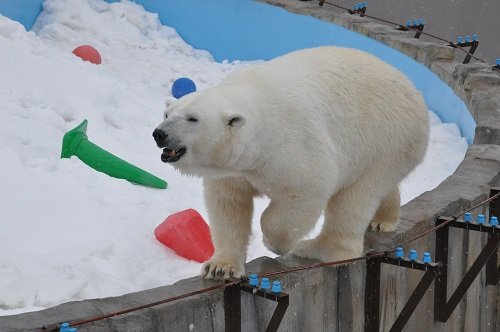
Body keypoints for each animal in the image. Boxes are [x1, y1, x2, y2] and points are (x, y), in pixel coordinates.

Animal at [152, 46, 430, 278]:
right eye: (167, 113)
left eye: (192, 118)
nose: (159, 134)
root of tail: (414, 90)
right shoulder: (232, 170)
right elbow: (228, 204)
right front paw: (221, 267)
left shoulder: (294, 145)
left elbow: (306, 190)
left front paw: (274, 243)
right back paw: (382, 219)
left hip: (386, 139)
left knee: (355, 198)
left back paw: (316, 248)